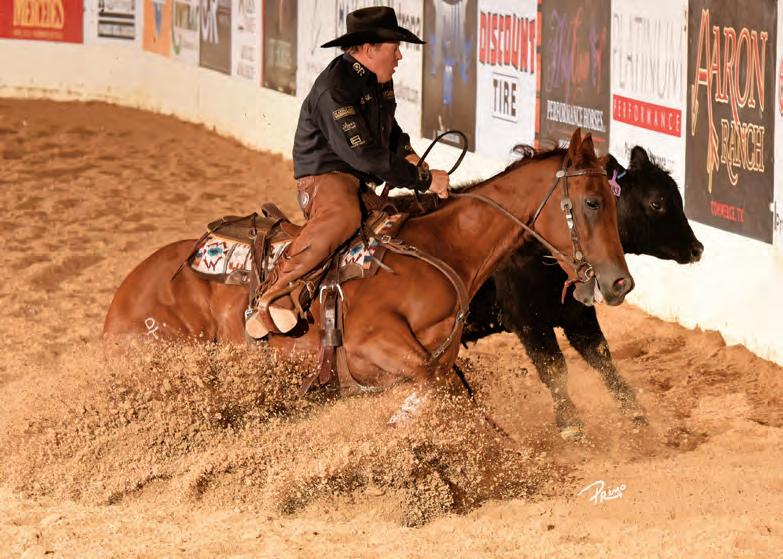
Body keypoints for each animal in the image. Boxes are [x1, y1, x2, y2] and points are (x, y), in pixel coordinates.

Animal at [104, 128, 634, 398]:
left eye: (613, 200)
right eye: (591, 202)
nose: (620, 283)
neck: (443, 251)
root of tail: (125, 294)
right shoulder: (374, 345)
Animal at [461, 145, 704, 439]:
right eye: (657, 203)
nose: (697, 248)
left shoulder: (578, 315)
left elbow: (602, 359)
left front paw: (636, 414)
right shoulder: (528, 322)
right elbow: (553, 368)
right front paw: (571, 424)